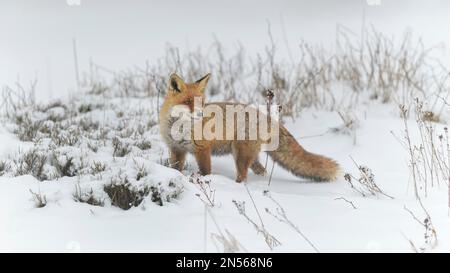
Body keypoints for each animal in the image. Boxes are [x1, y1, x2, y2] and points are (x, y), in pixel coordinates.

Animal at [160, 73, 340, 182]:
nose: (201, 113)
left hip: (240, 155)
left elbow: (205, 172)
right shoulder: (176, 149)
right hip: (250, 157)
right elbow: (175, 169)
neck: (180, 130)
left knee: (243, 176)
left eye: (202, 102)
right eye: (188, 101)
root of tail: (264, 116)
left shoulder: (202, 149)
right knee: (261, 170)